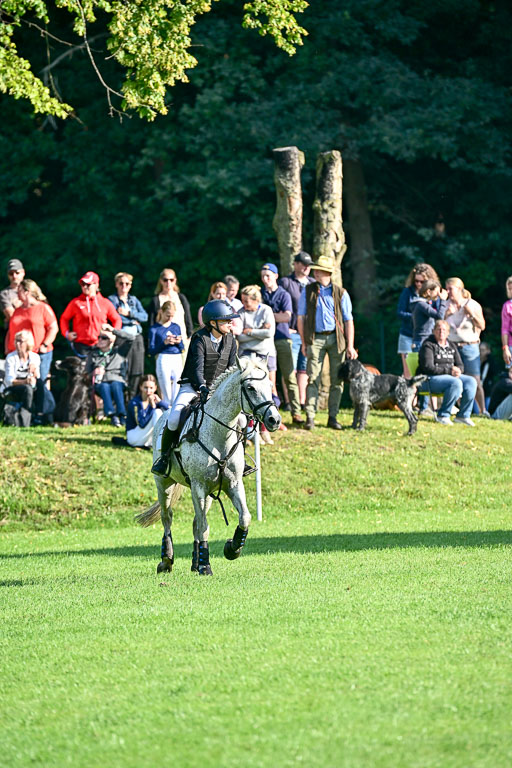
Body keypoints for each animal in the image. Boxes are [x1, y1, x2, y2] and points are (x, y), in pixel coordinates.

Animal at [135, 357, 281, 575]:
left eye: (270, 385)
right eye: (250, 387)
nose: (274, 420)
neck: (219, 433)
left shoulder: (233, 484)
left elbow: (244, 517)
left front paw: (232, 548)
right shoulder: (199, 485)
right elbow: (204, 526)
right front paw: (206, 566)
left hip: (209, 493)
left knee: (195, 520)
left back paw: (195, 562)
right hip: (164, 484)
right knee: (167, 517)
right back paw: (167, 560)